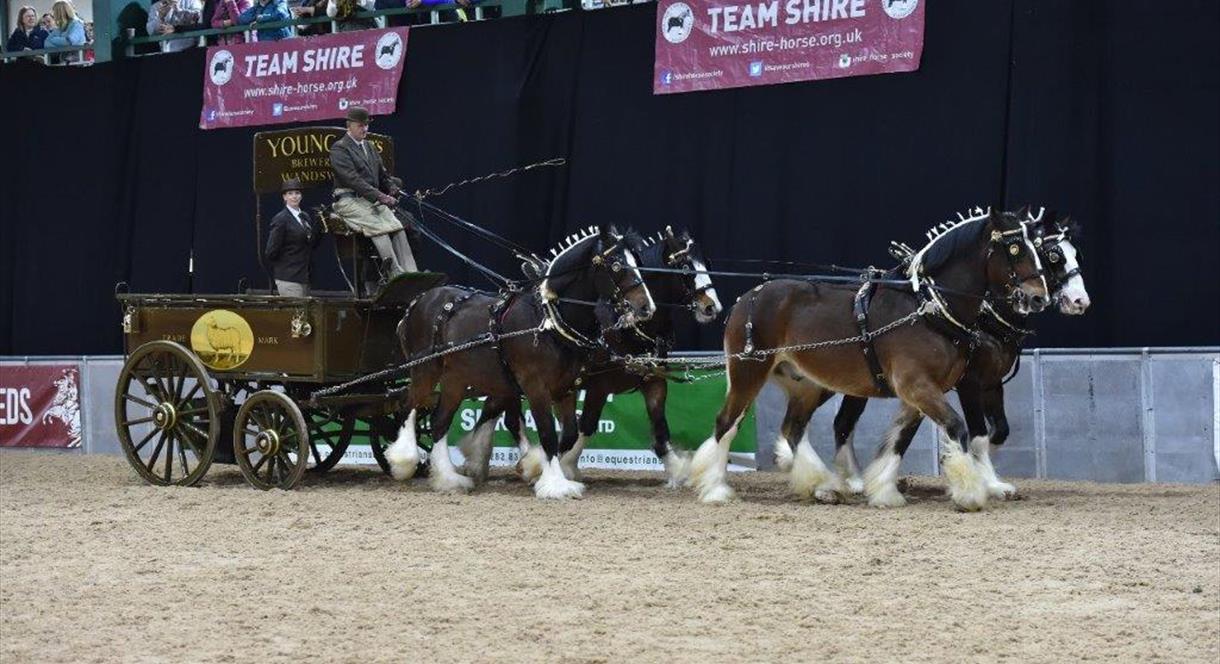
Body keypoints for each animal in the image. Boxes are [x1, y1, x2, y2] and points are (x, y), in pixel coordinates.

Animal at [387, 225, 658, 500]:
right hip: (425, 369)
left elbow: (569, 433)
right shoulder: (535, 387)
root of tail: (417, 301)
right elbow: (548, 433)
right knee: (410, 405)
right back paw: (403, 461)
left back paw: (448, 478)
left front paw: (535, 466)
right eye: (616, 264)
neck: (548, 323)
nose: (647, 308)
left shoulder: (565, 389)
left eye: (637, 262)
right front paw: (554, 484)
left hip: (456, 379)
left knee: (439, 421)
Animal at [514, 227, 722, 488]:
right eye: (685, 268)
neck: (626, 329)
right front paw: (563, 465)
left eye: (707, 264)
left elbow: (660, 430)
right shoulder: (599, 386)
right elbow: (587, 426)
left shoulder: (654, 382)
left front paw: (678, 471)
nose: (712, 307)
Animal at [692, 209, 1054, 510]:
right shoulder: (921, 386)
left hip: (806, 384)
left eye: (1037, 249)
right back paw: (715, 489)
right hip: (747, 373)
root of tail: (747, 297)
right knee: (726, 423)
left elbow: (898, 442)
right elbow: (958, 427)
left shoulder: (921, 394)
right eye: (1015, 249)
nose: (1039, 297)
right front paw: (970, 492)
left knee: (793, 429)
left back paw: (822, 486)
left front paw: (884, 491)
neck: (929, 311)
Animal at [775, 207, 1093, 502]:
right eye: (1053, 255)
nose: (1080, 301)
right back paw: (822, 473)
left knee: (837, 421)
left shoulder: (991, 383)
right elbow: (978, 434)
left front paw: (981, 473)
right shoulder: (969, 383)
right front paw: (983, 478)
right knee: (826, 421)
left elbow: (999, 430)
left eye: (1076, 253)